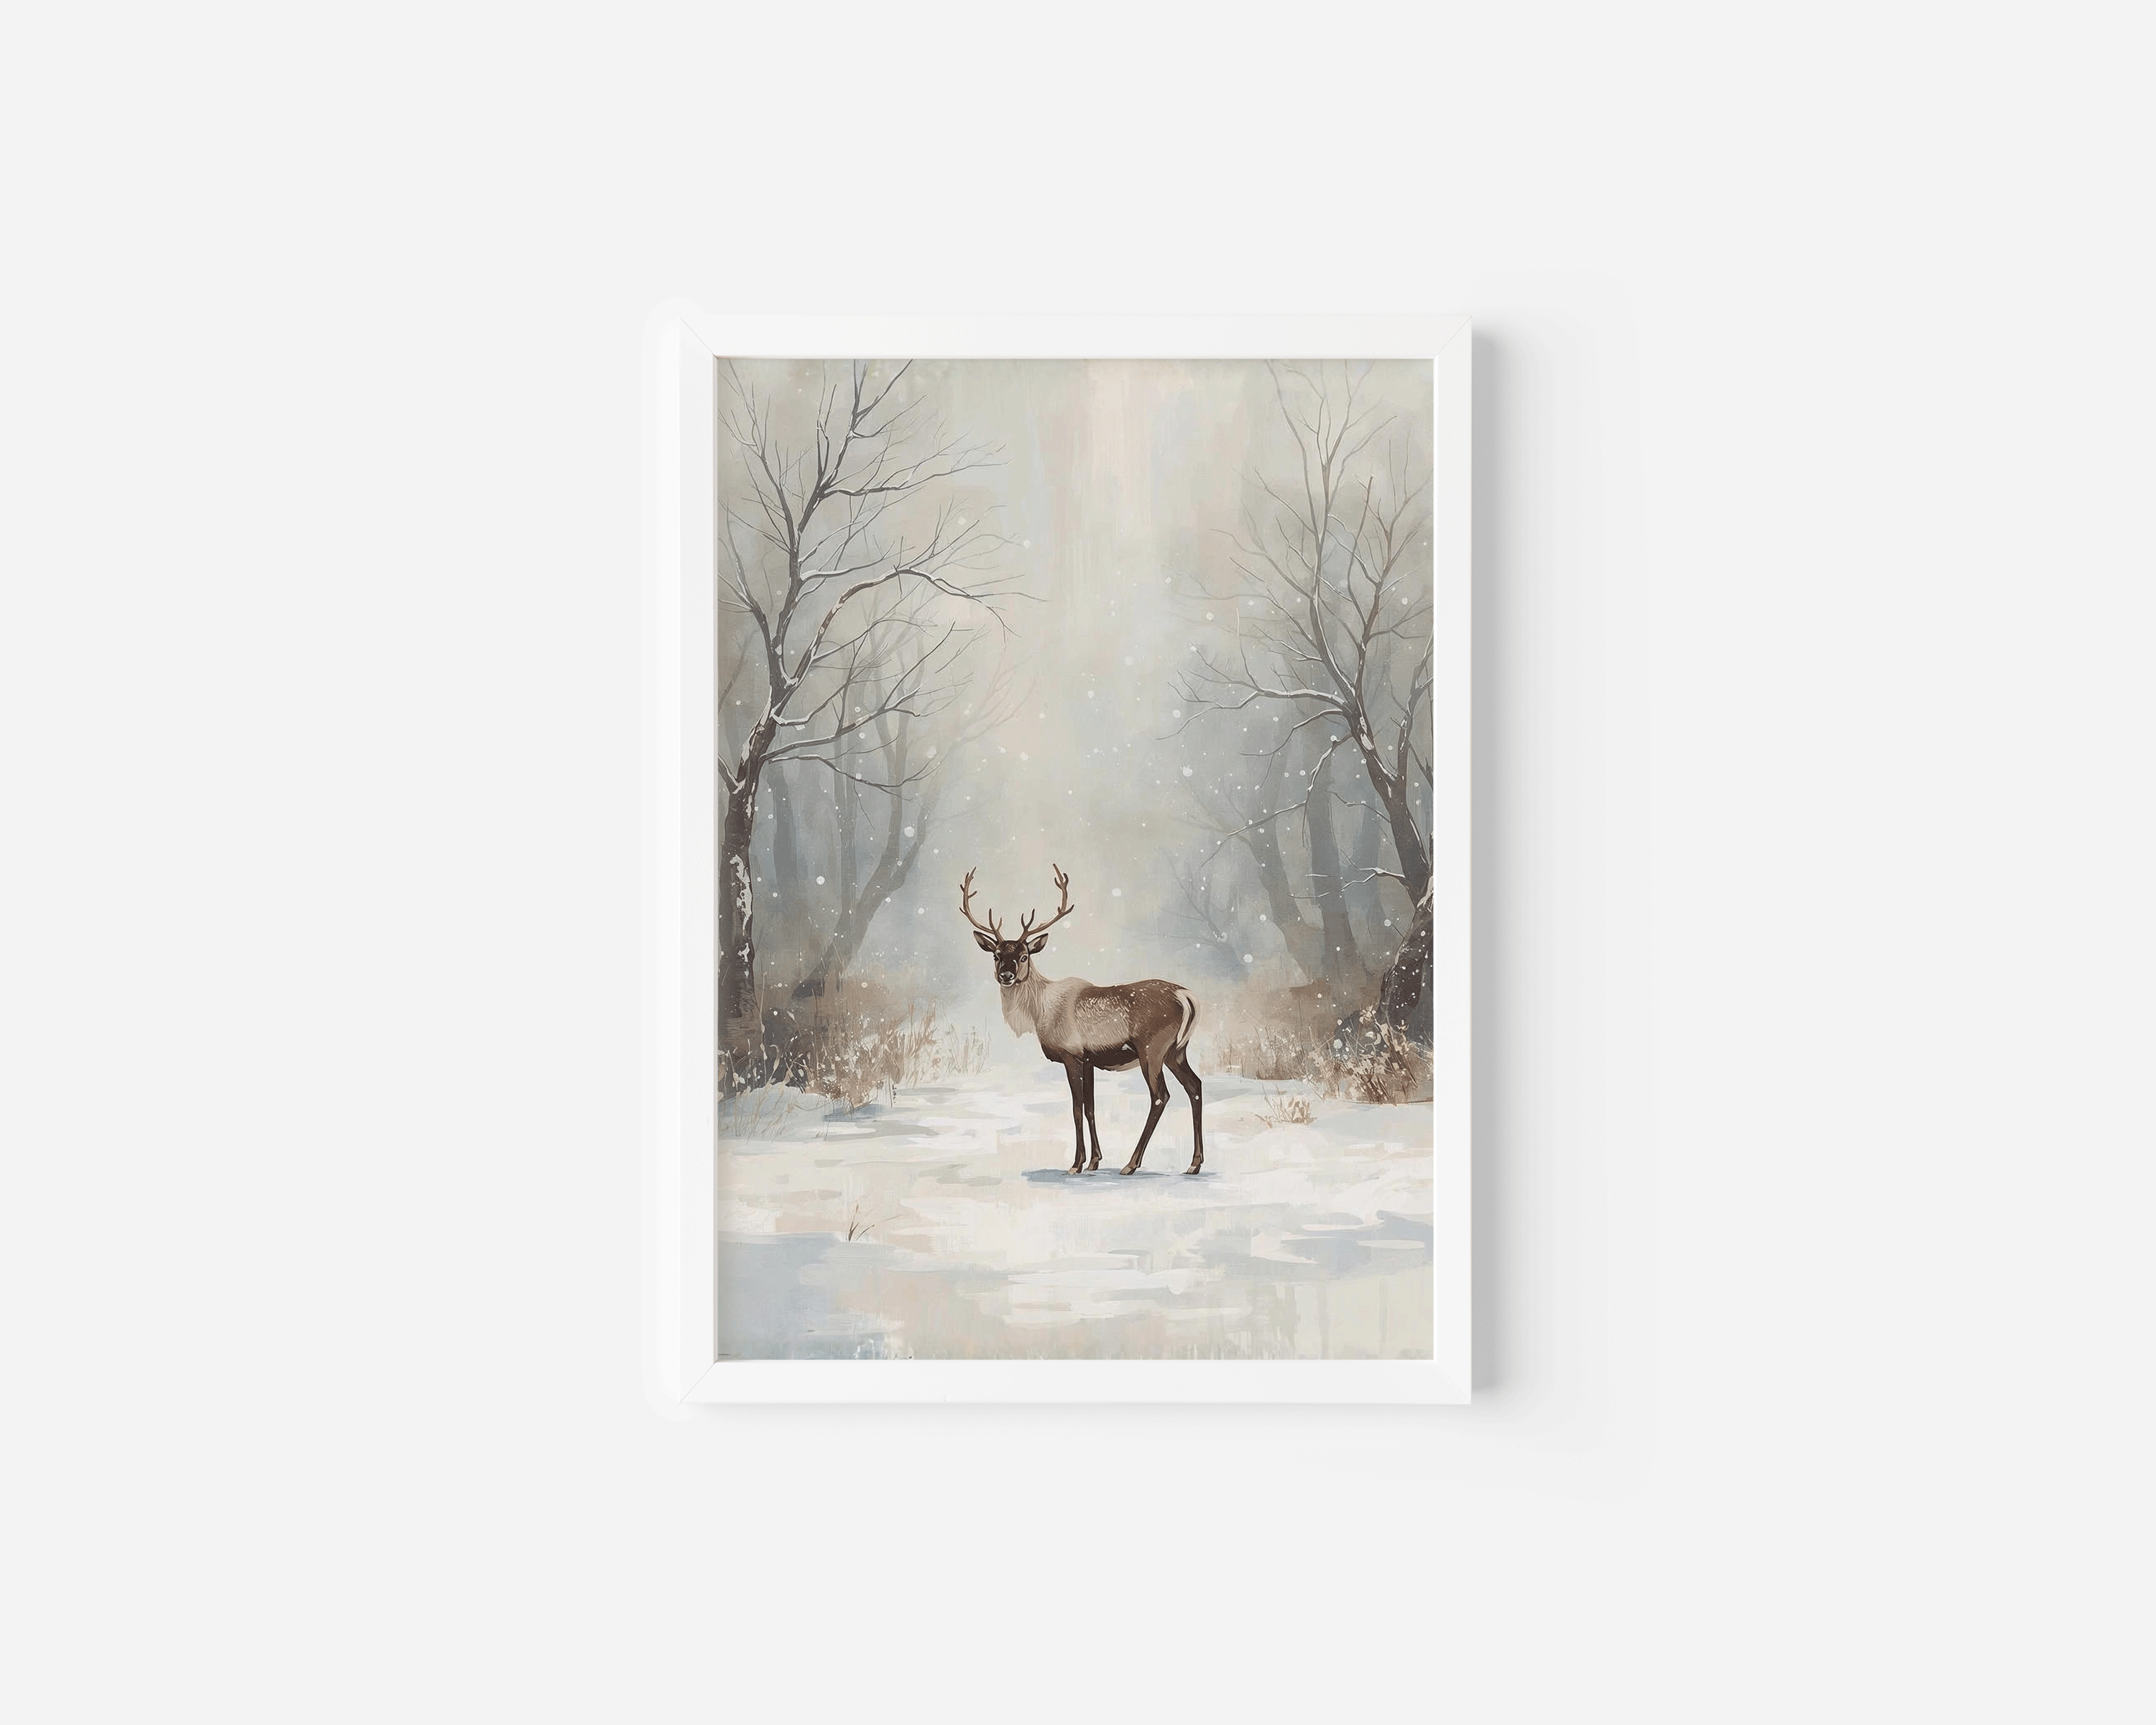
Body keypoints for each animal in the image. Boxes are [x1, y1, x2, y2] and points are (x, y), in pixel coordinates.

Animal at [960, 864, 1204, 1176]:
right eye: (996, 955)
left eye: (1024, 956)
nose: (1006, 975)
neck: (1040, 1012)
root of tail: (1185, 996)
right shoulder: (1089, 1059)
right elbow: (1090, 1108)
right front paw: (1095, 1161)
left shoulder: (1071, 1054)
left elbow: (1076, 1108)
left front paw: (1076, 1164)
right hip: (1177, 1050)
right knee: (1195, 1087)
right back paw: (1194, 1164)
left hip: (1153, 1048)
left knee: (1161, 1096)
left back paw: (1131, 1164)